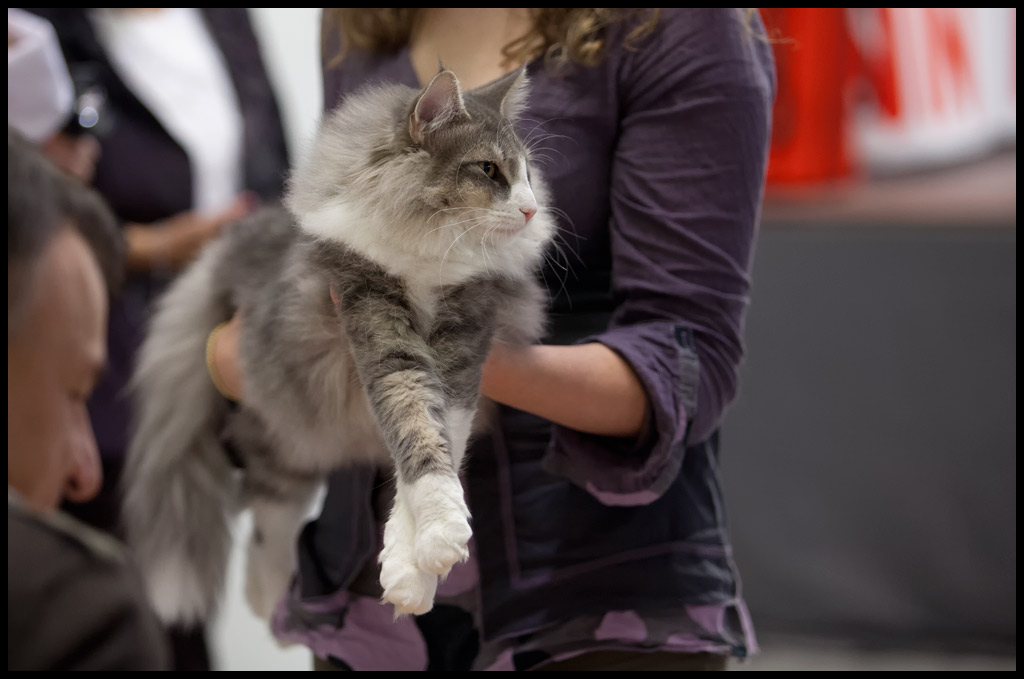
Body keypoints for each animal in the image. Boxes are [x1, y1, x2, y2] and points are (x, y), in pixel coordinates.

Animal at [123, 69, 557, 626]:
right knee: (270, 508)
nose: (530, 209)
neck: (428, 249)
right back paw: (267, 594)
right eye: (488, 169)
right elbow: (417, 428)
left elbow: (438, 437)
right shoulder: (373, 317)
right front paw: (439, 536)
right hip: (279, 422)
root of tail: (231, 248)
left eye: (527, 175)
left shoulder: (469, 331)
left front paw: (411, 567)